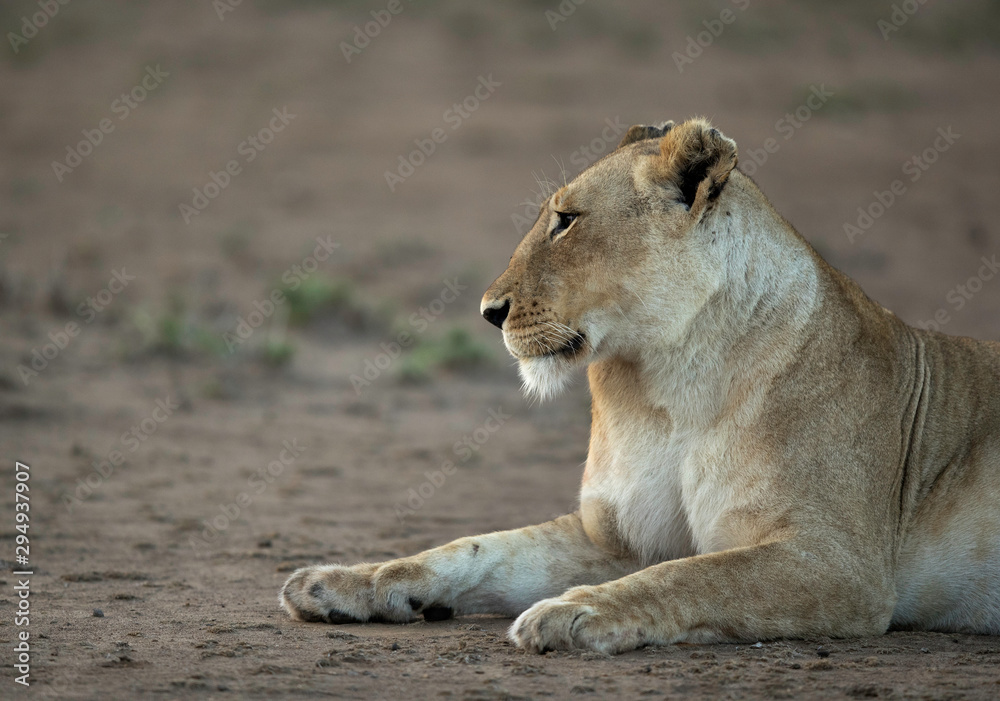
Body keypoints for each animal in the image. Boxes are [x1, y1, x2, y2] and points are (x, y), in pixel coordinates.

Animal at [280, 117, 1000, 654]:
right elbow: (473, 549)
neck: (664, 385)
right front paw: (342, 581)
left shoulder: (837, 562)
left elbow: (694, 578)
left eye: (566, 219)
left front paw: (573, 613)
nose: (489, 311)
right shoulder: (616, 537)